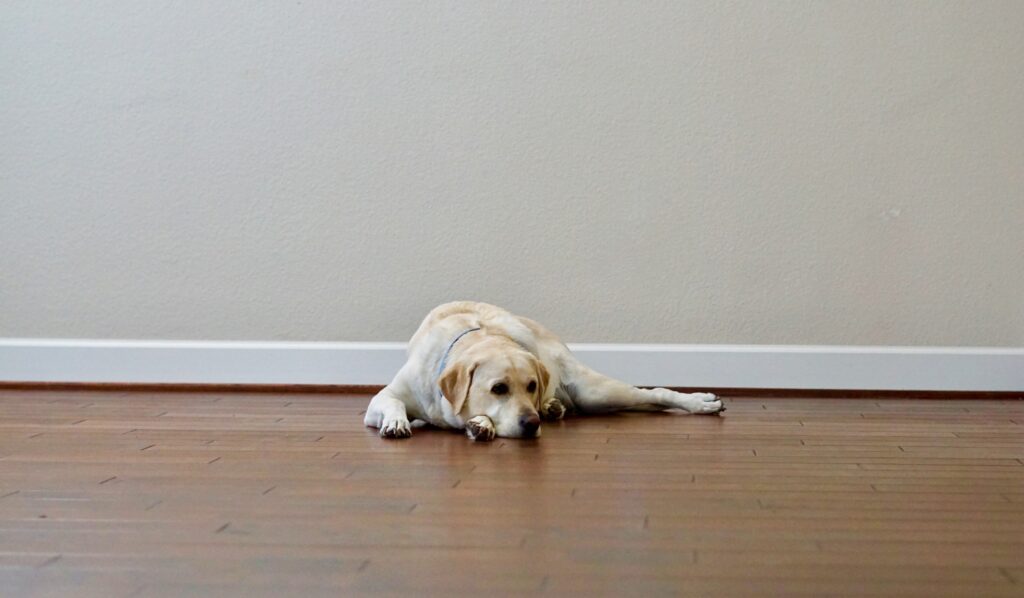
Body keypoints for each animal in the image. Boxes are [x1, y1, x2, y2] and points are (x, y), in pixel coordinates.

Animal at [364, 303, 724, 438]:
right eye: (498, 388)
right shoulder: (383, 399)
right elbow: (391, 402)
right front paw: (397, 422)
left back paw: (702, 402)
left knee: (655, 393)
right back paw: (553, 408)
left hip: (595, 391)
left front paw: (481, 423)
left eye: (531, 385)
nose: (532, 422)